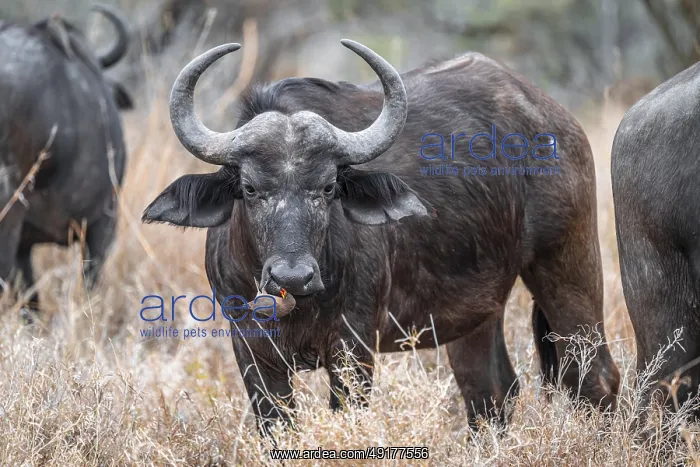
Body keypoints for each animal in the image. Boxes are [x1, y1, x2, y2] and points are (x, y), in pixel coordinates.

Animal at [143, 40, 620, 435]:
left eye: (328, 187)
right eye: (249, 188)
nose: (292, 276)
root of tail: (556, 121)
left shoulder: (353, 349)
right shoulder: (251, 351)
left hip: (568, 266)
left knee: (595, 378)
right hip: (476, 312)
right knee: (490, 392)